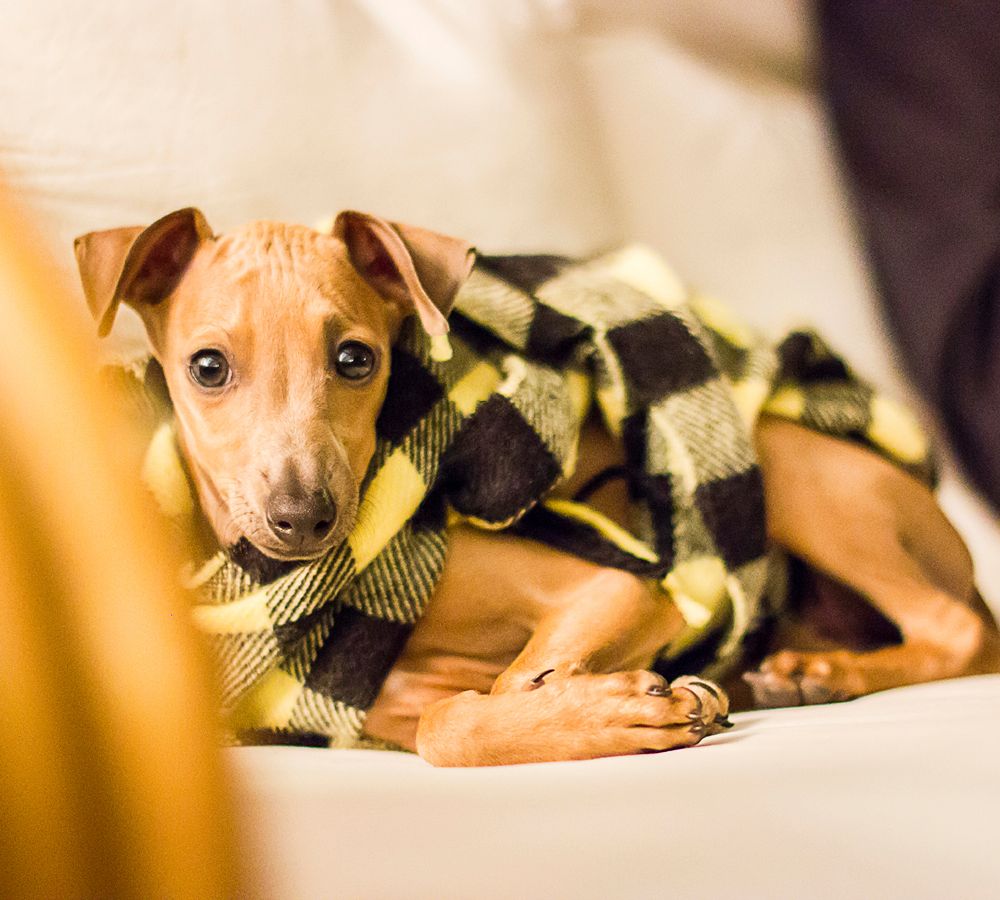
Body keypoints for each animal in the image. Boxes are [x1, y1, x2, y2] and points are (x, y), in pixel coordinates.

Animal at [74, 208, 1000, 766]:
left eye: (356, 358)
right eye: (207, 367)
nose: (301, 517)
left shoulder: (622, 586)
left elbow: (494, 696)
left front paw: (608, 711)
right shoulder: (372, 711)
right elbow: (452, 715)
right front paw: (612, 708)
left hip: (786, 463)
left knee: (956, 629)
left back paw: (820, 672)